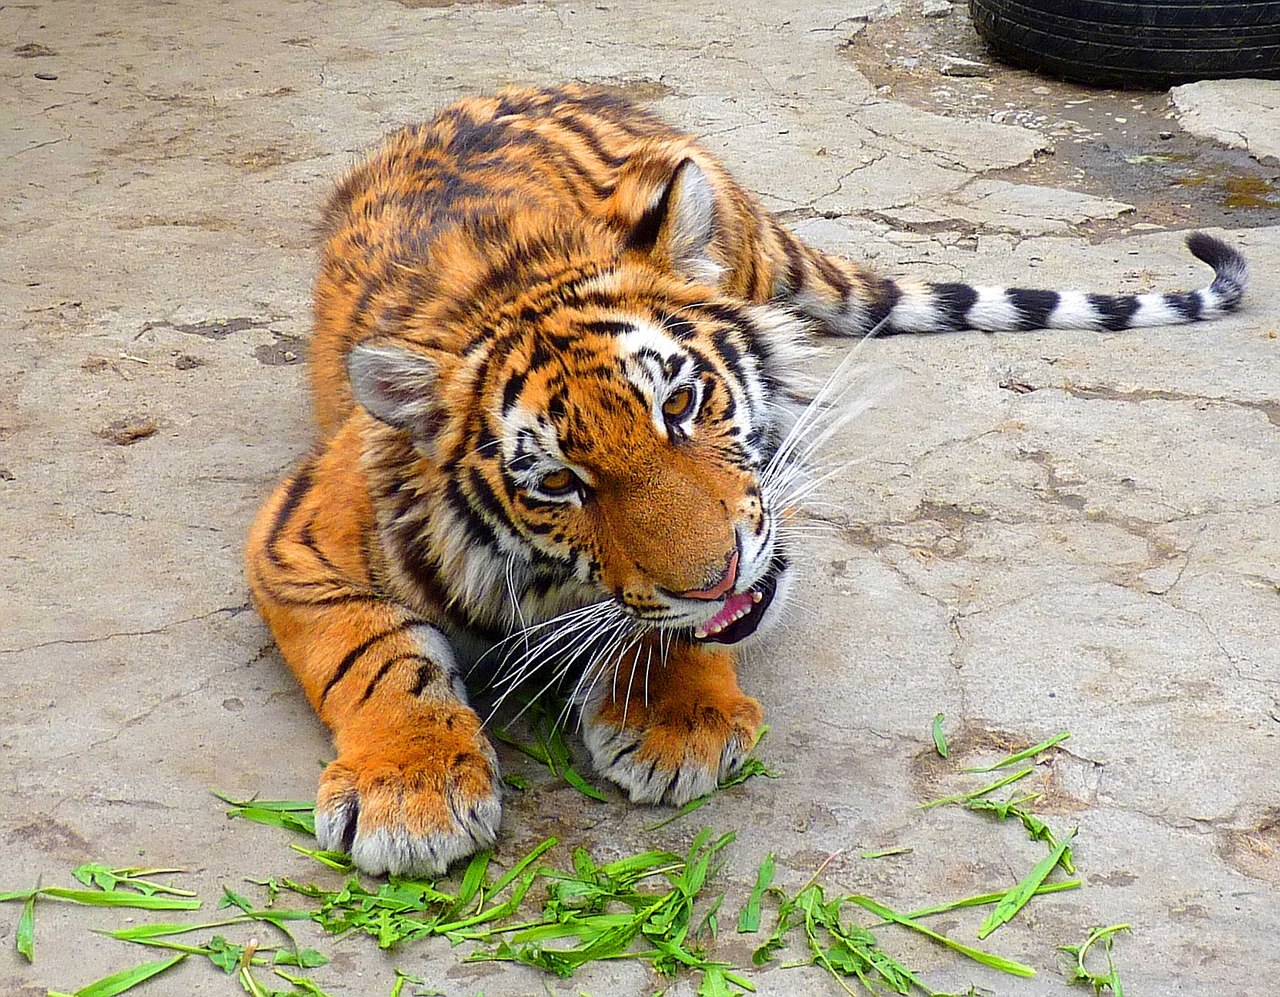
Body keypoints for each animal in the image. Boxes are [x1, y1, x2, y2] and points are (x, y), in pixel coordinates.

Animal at [244, 87, 1244, 880]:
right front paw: (408, 790)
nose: (715, 575)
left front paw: (676, 717)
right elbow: (374, 657)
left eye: (681, 403)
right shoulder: (295, 540)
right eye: (559, 483)